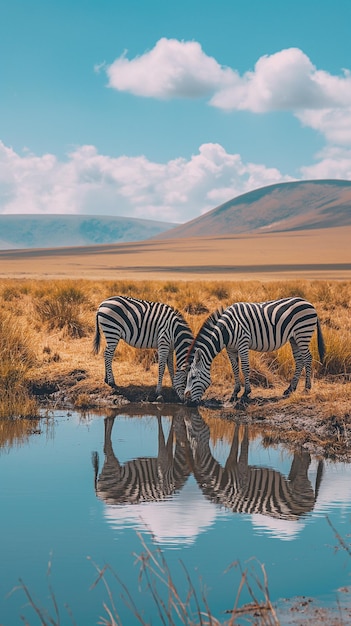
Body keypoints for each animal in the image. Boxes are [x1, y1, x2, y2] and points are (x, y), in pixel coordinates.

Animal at [183, 408, 324, 520]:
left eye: (191, 432)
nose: (188, 416)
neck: (223, 482)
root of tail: (308, 510)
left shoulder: (241, 472)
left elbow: (244, 445)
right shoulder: (231, 464)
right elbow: (235, 443)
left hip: (301, 485)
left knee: (305, 464)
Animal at [184, 296, 328, 402]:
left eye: (193, 377)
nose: (187, 401)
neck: (225, 330)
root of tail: (309, 303)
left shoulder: (243, 343)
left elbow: (245, 367)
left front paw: (245, 393)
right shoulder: (230, 348)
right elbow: (235, 369)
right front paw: (234, 394)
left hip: (303, 333)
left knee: (307, 358)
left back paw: (306, 388)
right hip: (294, 338)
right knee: (299, 360)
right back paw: (290, 389)